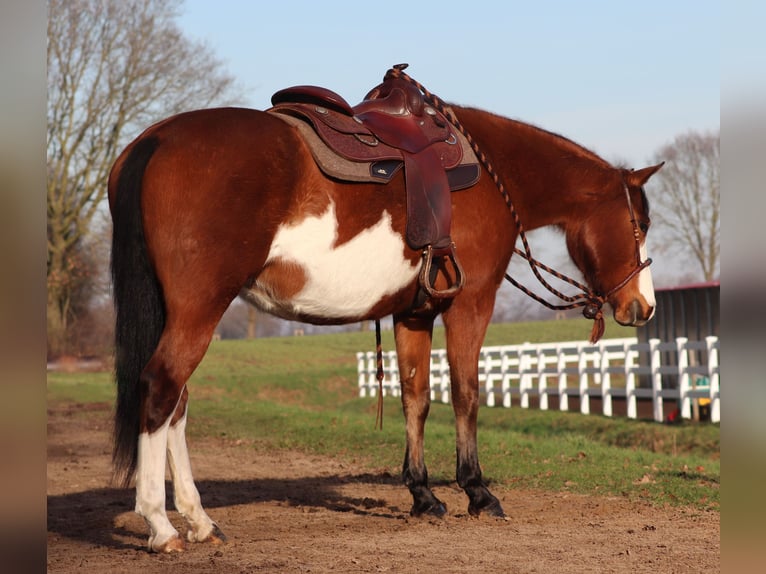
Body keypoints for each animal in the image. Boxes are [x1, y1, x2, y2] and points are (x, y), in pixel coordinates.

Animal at [108, 66, 661, 552]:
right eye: (639, 225)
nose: (644, 306)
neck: (490, 171)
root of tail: (153, 140)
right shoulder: (471, 304)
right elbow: (465, 393)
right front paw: (478, 492)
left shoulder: (413, 313)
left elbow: (415, 398)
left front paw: (423, 495)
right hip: (200, 307)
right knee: (161, 390)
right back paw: (161, 526)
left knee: (177, 404)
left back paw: (200, 521)